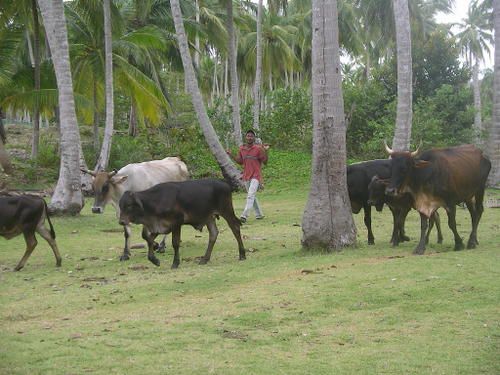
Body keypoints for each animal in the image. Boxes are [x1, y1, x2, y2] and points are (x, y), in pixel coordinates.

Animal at [117, 178, 246, 268]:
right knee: (214, 234)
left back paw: (242, 254)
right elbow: (148, 239)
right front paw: (155, 260)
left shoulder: (176, 223)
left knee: (235, 228)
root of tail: (223, 183)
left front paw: (175, 263)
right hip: (209, 217)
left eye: (129, 205)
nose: (121, 221)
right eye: (120, 206)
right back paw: (205, 259)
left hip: (226, 211)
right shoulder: (160, 227)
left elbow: (175, 243)